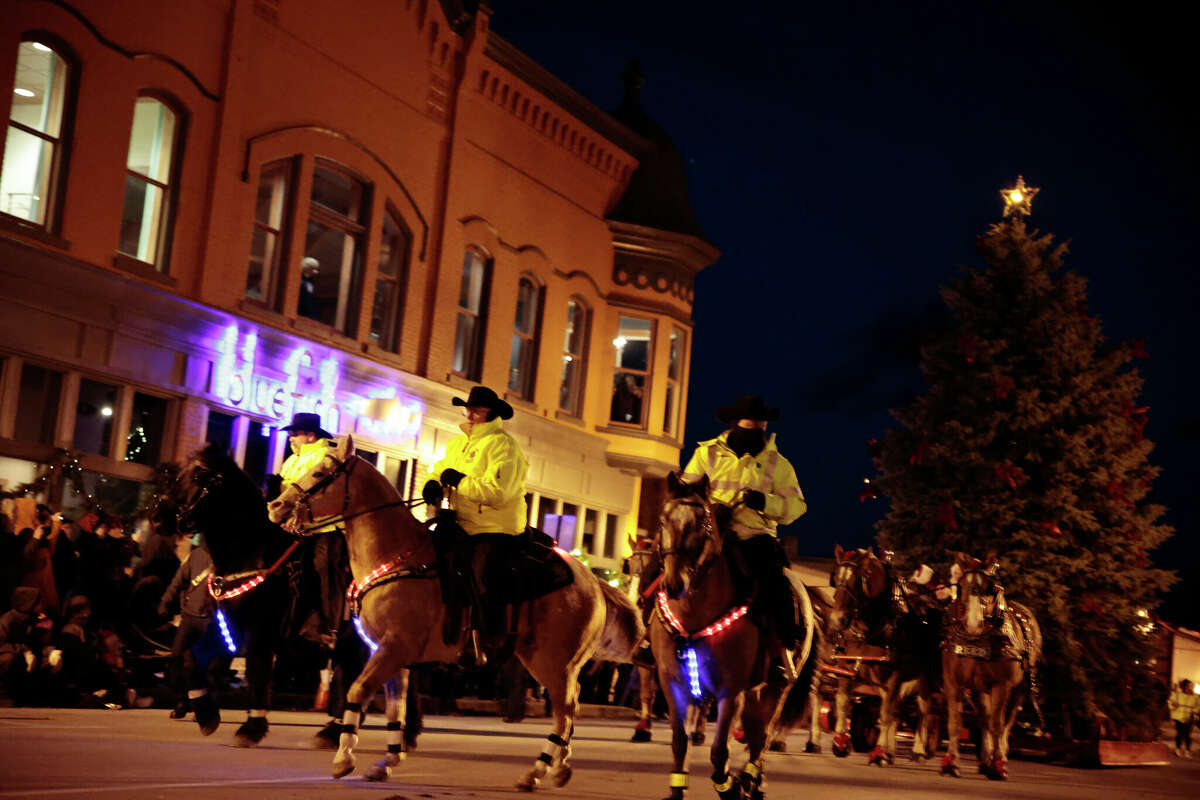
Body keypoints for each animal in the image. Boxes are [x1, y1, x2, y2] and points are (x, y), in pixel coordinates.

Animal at [266, 434, 643, 786]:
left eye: (320, 472)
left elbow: (357, 690)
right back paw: (561, 767)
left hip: (552, 662)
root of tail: (594, 583)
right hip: (559, 663)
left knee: (564, 711)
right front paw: (386, 761)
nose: (276, 505)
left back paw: (536, 772)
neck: (399, 556)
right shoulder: (395, 656)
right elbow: (396, 707)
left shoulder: (393, 647)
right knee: (571, 707)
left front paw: (344, 759)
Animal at [643, 474, 811, 800]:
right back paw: (754, 783)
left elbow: (719, 751)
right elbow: (679, 743)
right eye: (662, 521)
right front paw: (677, 790)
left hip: (776, 688)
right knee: (755, 734)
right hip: (753, 692)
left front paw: (729, 787)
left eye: (704, 524)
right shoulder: (673, 684)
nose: (674, 584)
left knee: (762, 737)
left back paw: (750, 781)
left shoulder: (729, 691)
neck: (694, 617)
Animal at [825, 546, 945, 767]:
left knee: (923, 709)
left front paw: (879, 752)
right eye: (835, 577)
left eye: (860, 578)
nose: (838, 620)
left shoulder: (894, 676)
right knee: (896, 710)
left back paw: (918, 750)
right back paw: (891, 752)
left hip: (927, 676)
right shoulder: (845, 671)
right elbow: (843, 702)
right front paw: (840, 743)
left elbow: (886, 713)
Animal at [936, 554, 1041, 777]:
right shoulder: (953, 682)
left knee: (1006, 721)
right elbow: (955, 722)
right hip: (978, 689)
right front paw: (950, 763)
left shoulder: (1002, 685)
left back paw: (998, 757)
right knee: (984, 717)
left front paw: (999, 764)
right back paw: (986, 758)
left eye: (990, 588)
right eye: (960, 586)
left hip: (1019, 689)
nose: (972, 624)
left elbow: (997, 724)